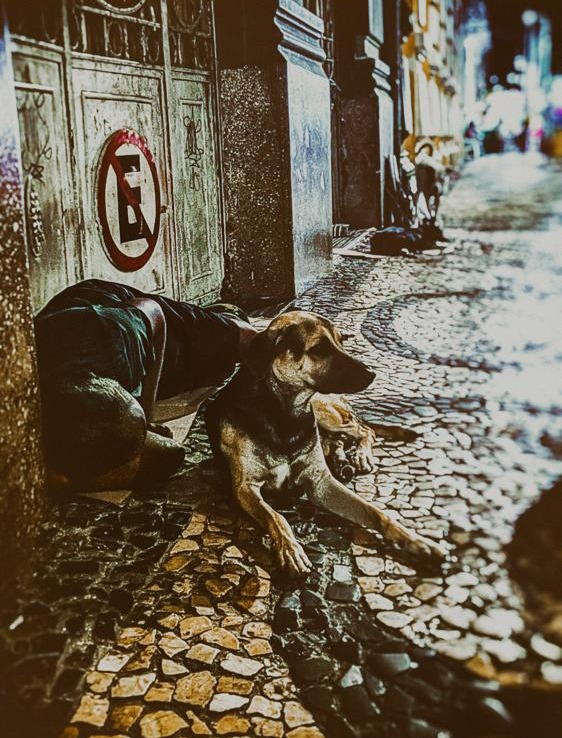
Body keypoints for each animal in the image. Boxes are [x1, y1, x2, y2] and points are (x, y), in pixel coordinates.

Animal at [203, 310, 444, 576]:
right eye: (319, 347)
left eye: (341, 340)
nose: (372, 373)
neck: (285, 415)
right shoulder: (245, 487)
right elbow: (276, 517)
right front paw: (291, 549)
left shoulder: (320, 483)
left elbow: (375, 511)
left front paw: (417, 541)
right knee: (345, 437)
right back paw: (343, 462)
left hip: (324, 415)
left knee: (363, 430)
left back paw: (359, 457)